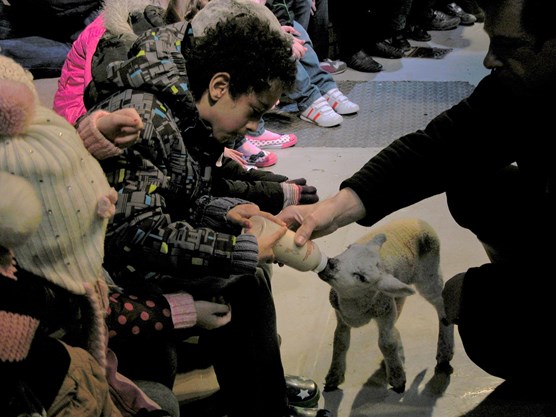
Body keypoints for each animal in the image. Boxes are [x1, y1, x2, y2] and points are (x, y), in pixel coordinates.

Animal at [320, 218, 454, 394]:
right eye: (348, 248)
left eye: (361, 277)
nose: (330, 264)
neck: (355, 309)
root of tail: (418, 220)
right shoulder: (341, 314)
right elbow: (340, 341)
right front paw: (334, 375)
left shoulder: (385, 310)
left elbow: (386, 343)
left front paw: (397, 378)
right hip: (398, 290)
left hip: (429, 273)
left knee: (441, 306)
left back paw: (444, 351)